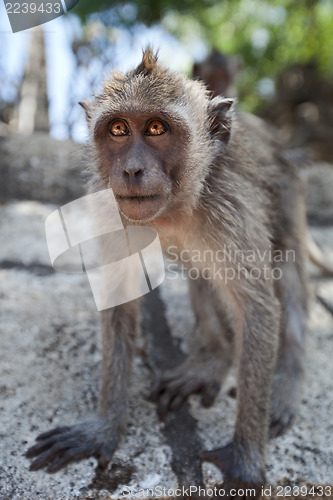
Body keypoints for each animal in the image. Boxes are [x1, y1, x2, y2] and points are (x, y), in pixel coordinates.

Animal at [26, 47, 306, 496]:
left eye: (157, 128)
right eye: (118, 129)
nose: (131, 170)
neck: (175, 207)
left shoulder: (231, 208)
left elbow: (258, 309)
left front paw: (246, 458)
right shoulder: (108, 203)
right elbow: (119, 297)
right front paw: (105, 428)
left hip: (290, 194)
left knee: (290, 273)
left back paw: (286, 379)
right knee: (202, 276)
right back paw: (215, 359)